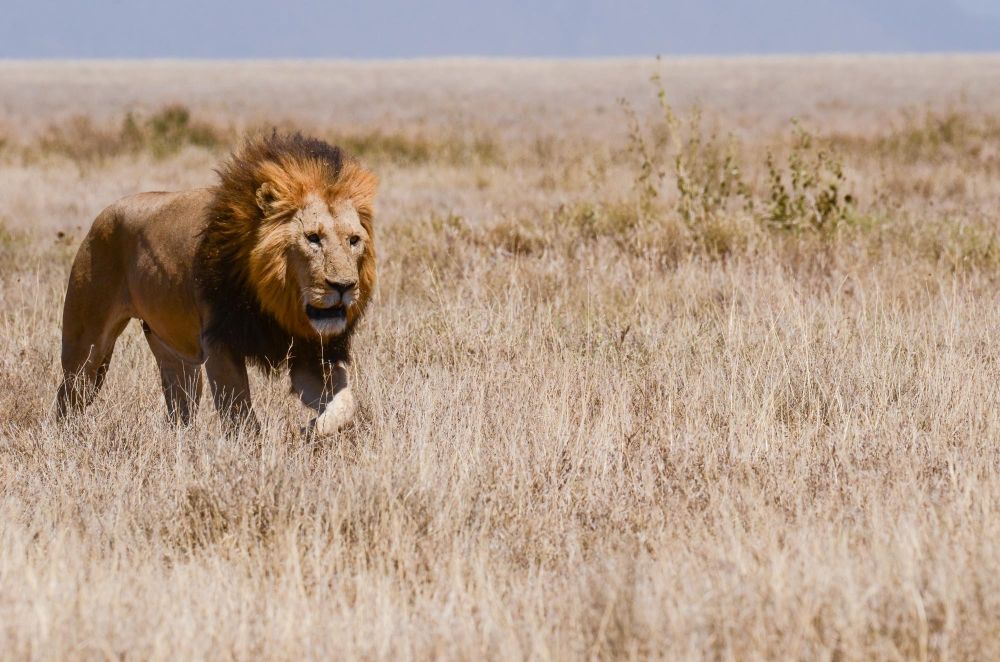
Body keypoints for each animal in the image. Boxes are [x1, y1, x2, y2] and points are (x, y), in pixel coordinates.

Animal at [56, 132, 378, 436]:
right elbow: (240, 416)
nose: (344, 286)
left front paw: (310, 430)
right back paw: (66, 437)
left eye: (353, 240)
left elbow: (346, 403)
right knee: (69, 394)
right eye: (312, 238)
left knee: (179, 408)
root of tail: (103, 214)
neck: (276, 301)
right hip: (87, 344)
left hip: (175, 355)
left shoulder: (309, 354)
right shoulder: (220, 341)